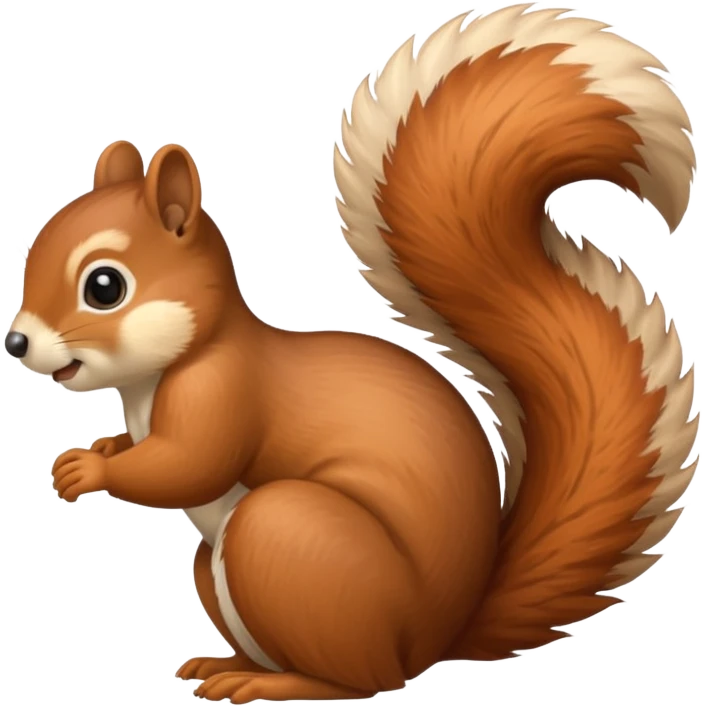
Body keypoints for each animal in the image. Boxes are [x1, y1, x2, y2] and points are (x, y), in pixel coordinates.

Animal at [5, 4, 699, 704]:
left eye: (104, 286)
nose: (16, 342)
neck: (155, 377)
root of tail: (436, 639)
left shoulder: (225, 390)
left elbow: (187, 464)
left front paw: (90, 471)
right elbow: (143, 450)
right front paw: (93, 452)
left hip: (285, 537)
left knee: (360, 680)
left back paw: (274, 685)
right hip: (223, 567)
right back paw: (228, 665)